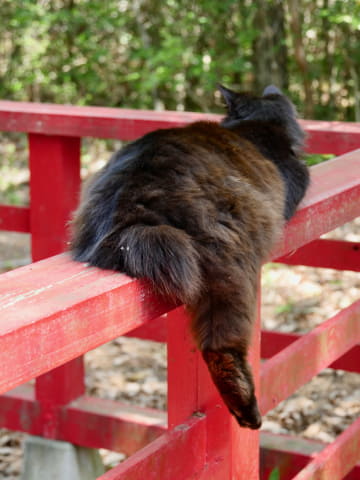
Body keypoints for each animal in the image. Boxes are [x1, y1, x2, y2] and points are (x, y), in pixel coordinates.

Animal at [70, 84, 310, 430]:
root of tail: (130, 202)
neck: (256, 125)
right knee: (221, 345)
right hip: (229, 265)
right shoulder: (297, 174)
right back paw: (248, 413)